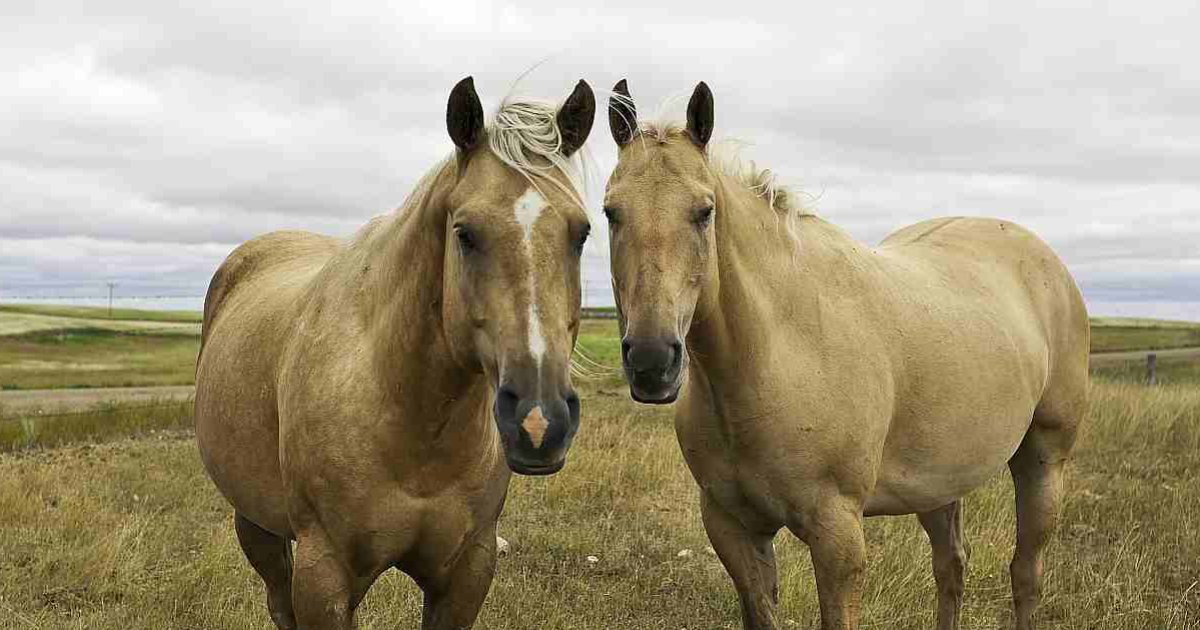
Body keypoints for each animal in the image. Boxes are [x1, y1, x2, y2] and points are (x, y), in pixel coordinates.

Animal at [195, 76, 597, 629]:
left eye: (582, 233)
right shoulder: (325, 574)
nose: (539, 423)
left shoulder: (467, 571)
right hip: (257, 525)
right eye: (465, 233)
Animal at [602, 80, 1088, 630]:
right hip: (937, 484)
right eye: (611, 212)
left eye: (704, 212)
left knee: (1026, 573)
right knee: (951, 569)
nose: (651, 361)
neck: (776, 358)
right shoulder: (732, 528)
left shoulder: (837, 538)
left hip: (1044, 460)